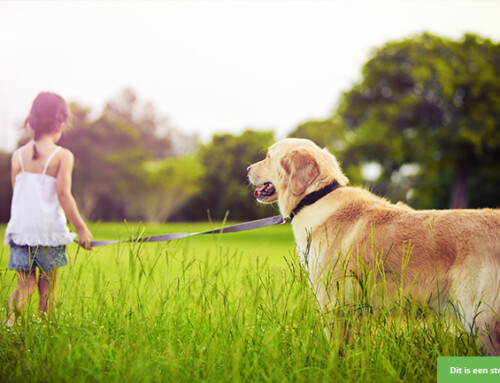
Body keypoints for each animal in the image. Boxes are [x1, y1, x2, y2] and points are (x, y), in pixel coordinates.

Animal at [248, 140, 500, 356]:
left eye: (268, 156)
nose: (247, 168)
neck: (315, 197)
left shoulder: (332, 301)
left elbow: (336, 348)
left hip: (480, 318)